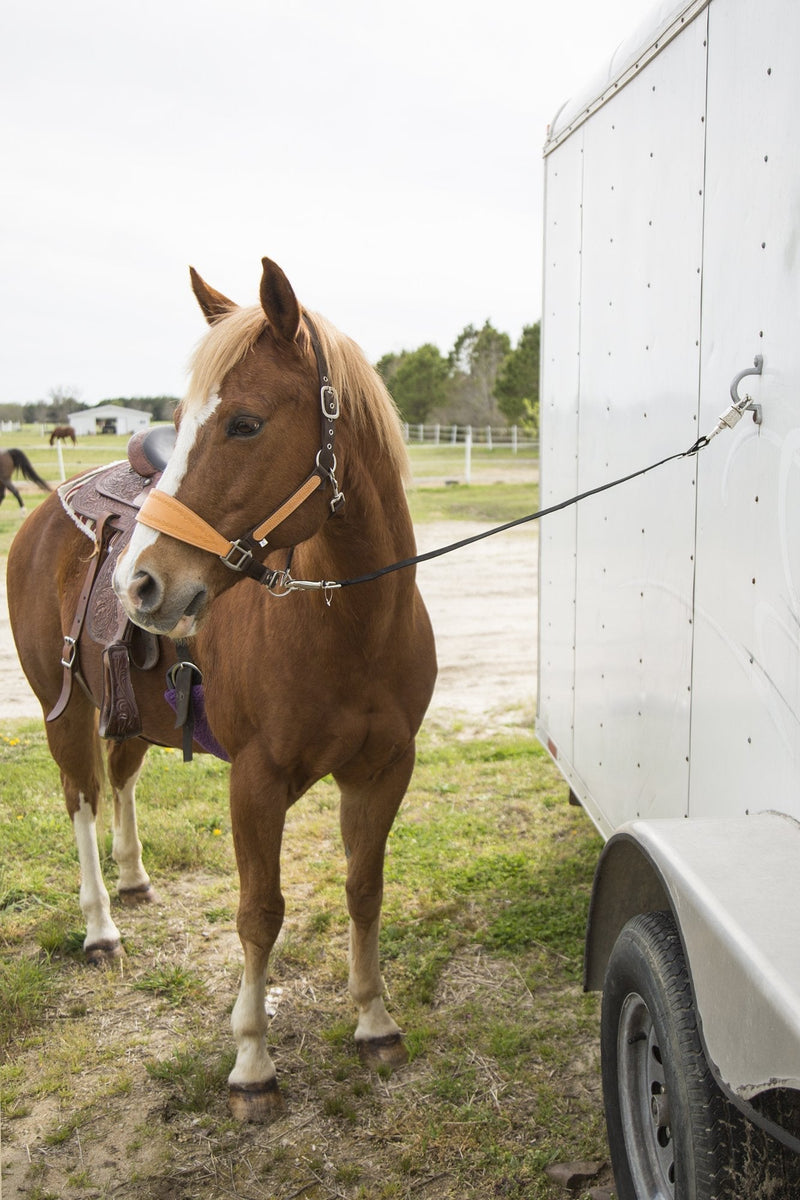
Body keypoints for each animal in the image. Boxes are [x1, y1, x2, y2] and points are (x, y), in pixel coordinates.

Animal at [7, 255, 438, 1123]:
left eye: (243, 423)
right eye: (184, 419)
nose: (141, 585)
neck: (352, 622)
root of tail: (41, 519)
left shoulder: (383, 771)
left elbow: (364, 889)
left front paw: (374, 1020)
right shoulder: (257, 783)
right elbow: (259, 913)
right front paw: (251, 1063)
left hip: (128, 715)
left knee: (121, 782)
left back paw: (134, 880)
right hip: (59, 713)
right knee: (80, 799)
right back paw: (101, 926)